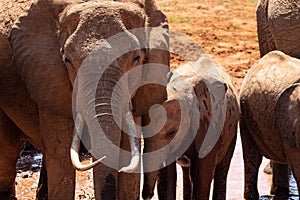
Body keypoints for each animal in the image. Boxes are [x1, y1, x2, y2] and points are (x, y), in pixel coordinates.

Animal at [0, 0, 169, 199]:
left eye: (136, 57)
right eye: (67, 60)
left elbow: (128, 156)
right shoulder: (49, 81)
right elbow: (61, 158)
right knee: (6, 160)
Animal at [142, 55, 239, 200]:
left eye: (171, 132)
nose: (146, 196)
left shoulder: (209, 124)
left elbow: (202, 175)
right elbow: (168, 177)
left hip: (232, 129)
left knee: (222, 168)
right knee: (187, 172)